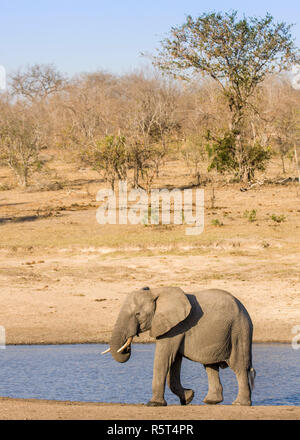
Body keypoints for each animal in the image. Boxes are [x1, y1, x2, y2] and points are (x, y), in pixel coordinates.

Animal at [102, 288, 256, 408]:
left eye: (137, 314)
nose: (127, 348)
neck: (155, 292)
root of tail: (244, 309)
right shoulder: (173, 327)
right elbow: (174, 361)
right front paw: (188, 397)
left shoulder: (175, 327)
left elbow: (164, 358)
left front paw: (154, 404)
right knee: (210, 365)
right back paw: (211, 401)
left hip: (239, 330)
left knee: (239, 366)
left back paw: (239, 404)